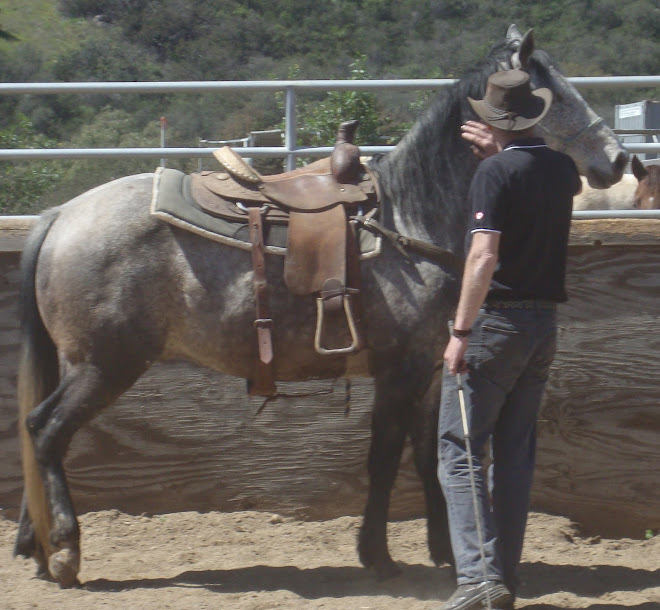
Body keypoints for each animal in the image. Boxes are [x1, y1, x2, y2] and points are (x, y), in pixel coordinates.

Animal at [12, 26, 628, 588]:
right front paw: (377, 555)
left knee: (35, 431)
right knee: (45, 431)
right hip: (106, 366)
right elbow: (384, 458)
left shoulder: (429, 375)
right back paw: (64, 551)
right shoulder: (399, 373)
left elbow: (426, 455)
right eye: (550, 93)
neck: (409, 219)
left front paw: (446, 553)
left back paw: (35, 547)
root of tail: (61, 216)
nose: (620, 159)